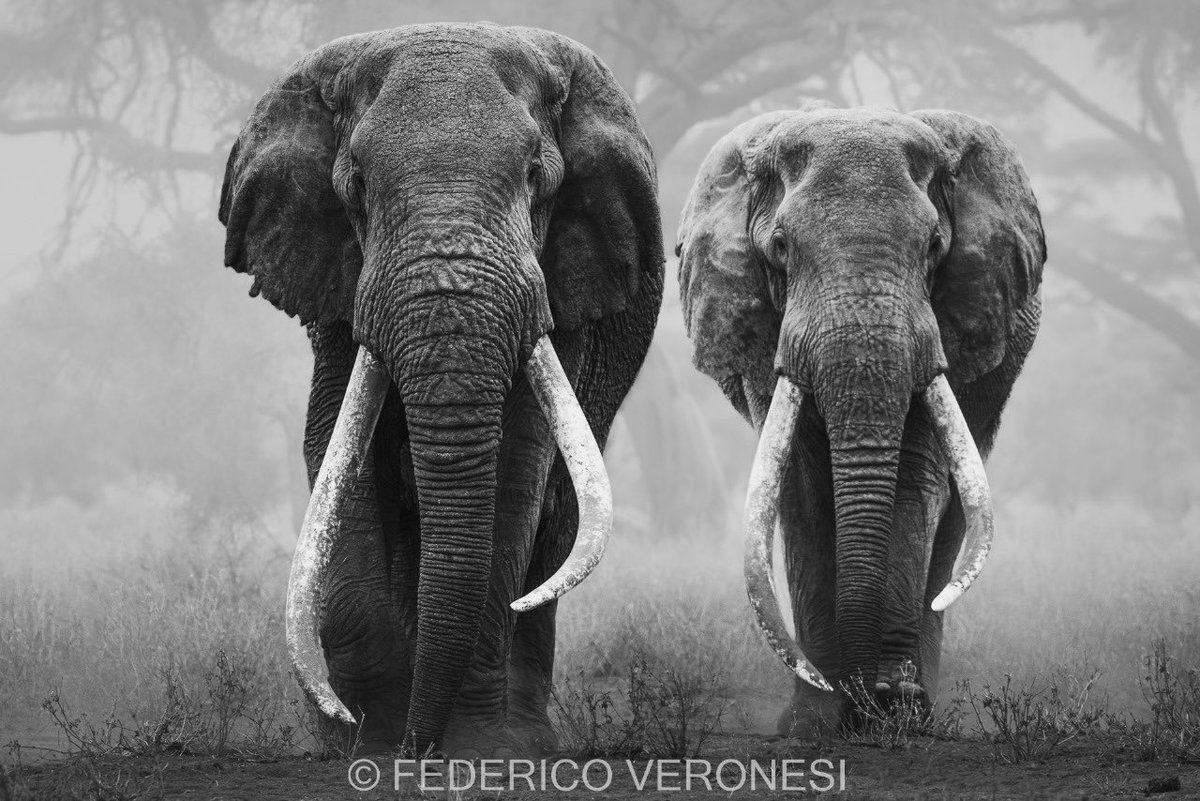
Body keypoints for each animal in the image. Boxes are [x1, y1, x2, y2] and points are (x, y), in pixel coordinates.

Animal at [217, 23, 663, 756]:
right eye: (356, 184)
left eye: (535, 178)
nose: (415, 749)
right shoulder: (339, 284)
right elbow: (340, 456)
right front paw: (365, 738)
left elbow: (517, 469)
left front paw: (477, 746)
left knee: (556, 522)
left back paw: (529, 734)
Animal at [677, 103, 1045, 733]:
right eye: (780, 246)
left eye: (933, 246)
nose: (864, 700)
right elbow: (801, 491)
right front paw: (817, 719)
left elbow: (914, 480)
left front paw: (895, 707)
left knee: (952, 515)